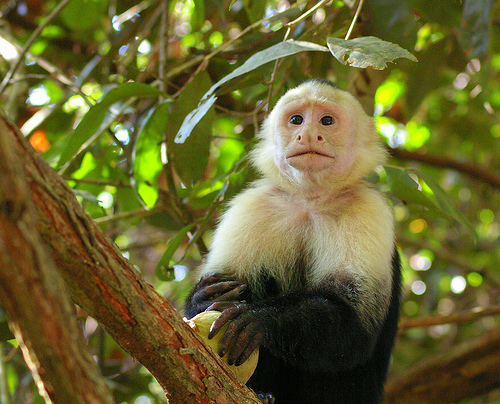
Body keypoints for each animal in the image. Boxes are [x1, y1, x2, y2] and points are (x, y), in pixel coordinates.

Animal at [185, 79, 402, 404]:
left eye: (327, 121)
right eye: (297, 120)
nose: (308, 134)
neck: (309, 201)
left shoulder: (368, 209)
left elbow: (354, 322)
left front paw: (261, 319)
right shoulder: (251, 207)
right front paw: (204, 296)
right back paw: (263, 393)